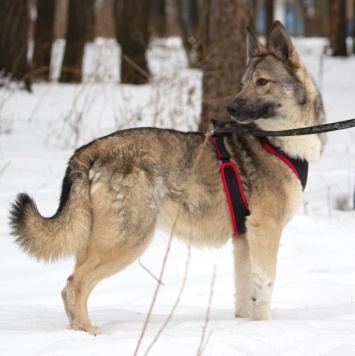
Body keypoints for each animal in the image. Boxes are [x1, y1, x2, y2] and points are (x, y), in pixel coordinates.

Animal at [9, 20, 326, 336]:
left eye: (261, 82)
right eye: (243, 83)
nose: (231, 108)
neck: (279, 140)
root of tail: (90, 149)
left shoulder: (244, 238)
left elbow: (245, 293)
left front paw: (243, 325)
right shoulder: (265, 229)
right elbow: (265, 288)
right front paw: (263, 329)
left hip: (96, 239)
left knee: (72, 286)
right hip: (129, 238)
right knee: (75, 285)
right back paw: (90, 336)